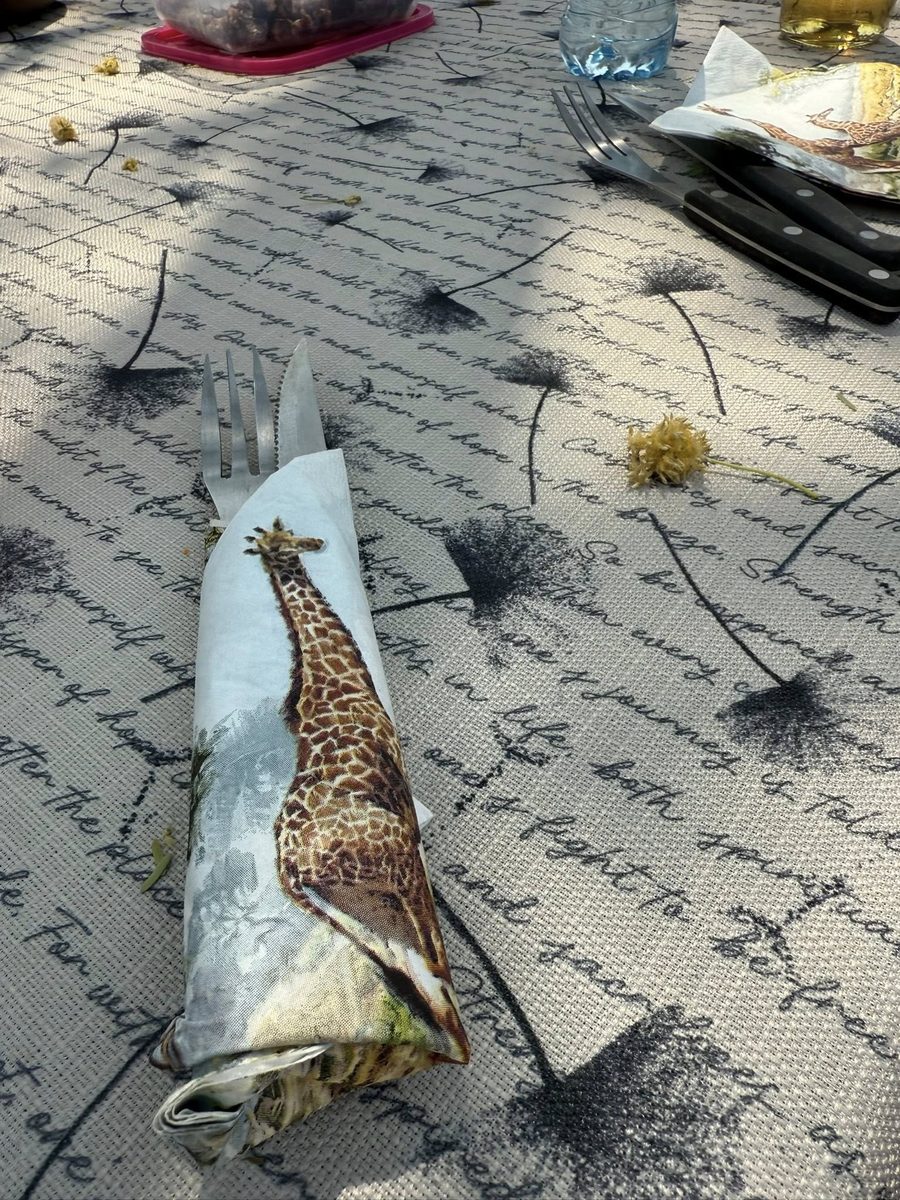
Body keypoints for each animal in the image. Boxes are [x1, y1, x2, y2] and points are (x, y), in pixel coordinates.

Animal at [245, 518, 469, 1063]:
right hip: (394, 873)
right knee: (431, 961)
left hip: (360, 910)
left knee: (413, 978)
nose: (317, 543)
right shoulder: (406, 830)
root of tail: (288, 868)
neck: (332, 680)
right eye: (286, 542)